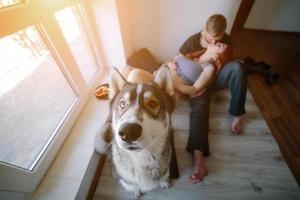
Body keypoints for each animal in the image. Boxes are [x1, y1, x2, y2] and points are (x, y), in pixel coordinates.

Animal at [95, 67, 175, 198]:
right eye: (123, 104)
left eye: (153, 103)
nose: (128, 131)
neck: (142, 158)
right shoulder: (127, 181)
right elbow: (133, 186)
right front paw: (136, 191)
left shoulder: (165, 169)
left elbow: (164, 176)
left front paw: (164, 183)